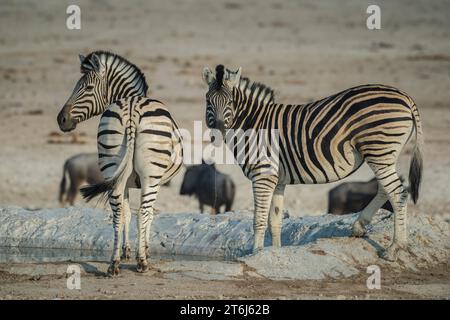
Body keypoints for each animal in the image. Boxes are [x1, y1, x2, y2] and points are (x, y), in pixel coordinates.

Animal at [57, 51, 184, 274]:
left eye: (87, 88)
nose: (61, 119)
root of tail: (132, 108)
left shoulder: (124, 180)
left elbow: (126, 213)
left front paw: (125, 251)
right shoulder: (155, 181)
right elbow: (146, 215)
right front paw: (143, 249)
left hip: (112, 166)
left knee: (117, 213)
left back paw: (114, 263)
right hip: (150, 176)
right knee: (143, 212)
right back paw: (141, 262)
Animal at [202, 64, 424, 260]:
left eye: (230, 101)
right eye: (208, 101)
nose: (219, 132)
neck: (254, 123)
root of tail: (405, 96)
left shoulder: (262, 175)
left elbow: (259, 219)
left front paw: (255, 252)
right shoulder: (277, 179)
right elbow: (275, 220)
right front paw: (274, 252)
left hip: (379, 149)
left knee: (398, 193)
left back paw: (395, 248)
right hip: (384, 154)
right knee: (386, 189)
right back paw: (360, 227)